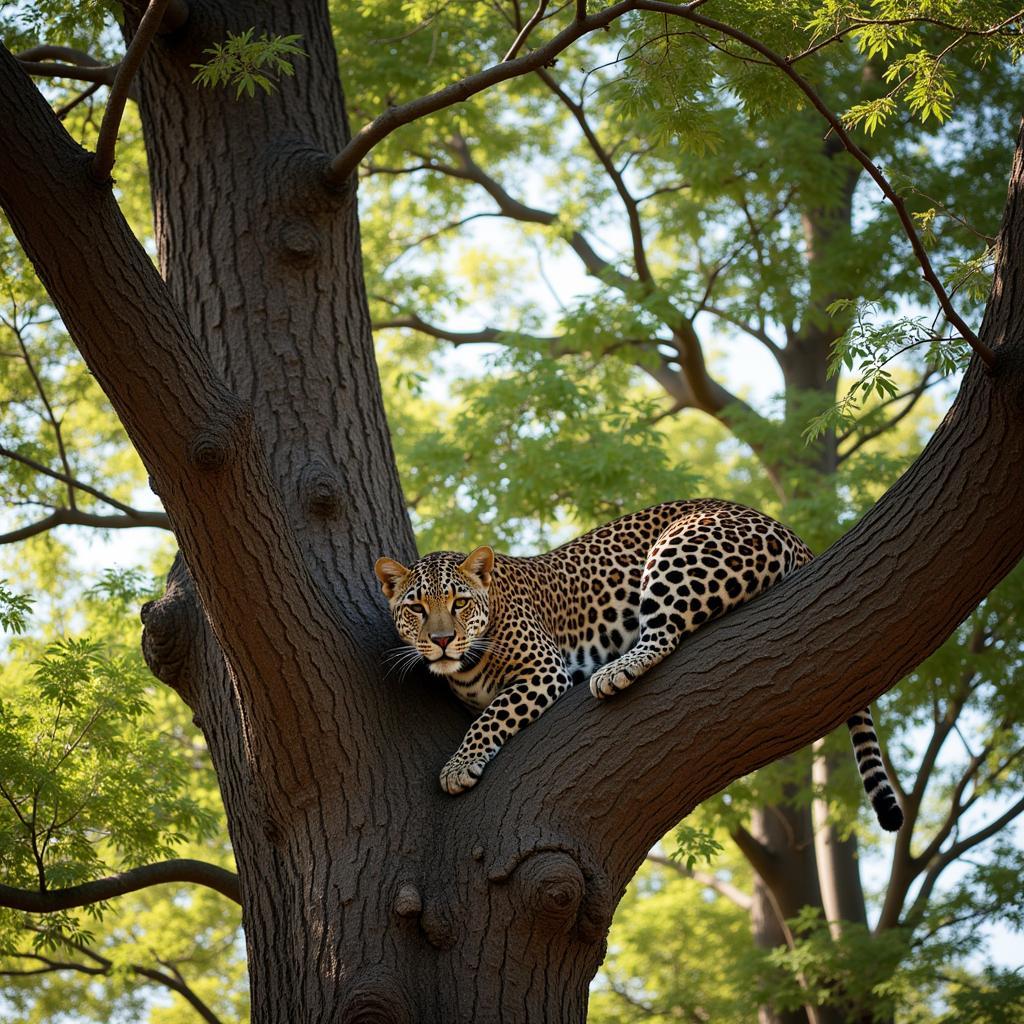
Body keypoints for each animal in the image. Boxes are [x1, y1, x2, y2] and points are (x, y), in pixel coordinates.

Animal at [376, 497, 905, 831]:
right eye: (417, 608)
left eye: (460, 603)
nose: (442, 640)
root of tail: (781, 525)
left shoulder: (543, 668)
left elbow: (489, 719)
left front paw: (458, 767)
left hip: (678, 550)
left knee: (665, 630)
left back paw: (613, 673)